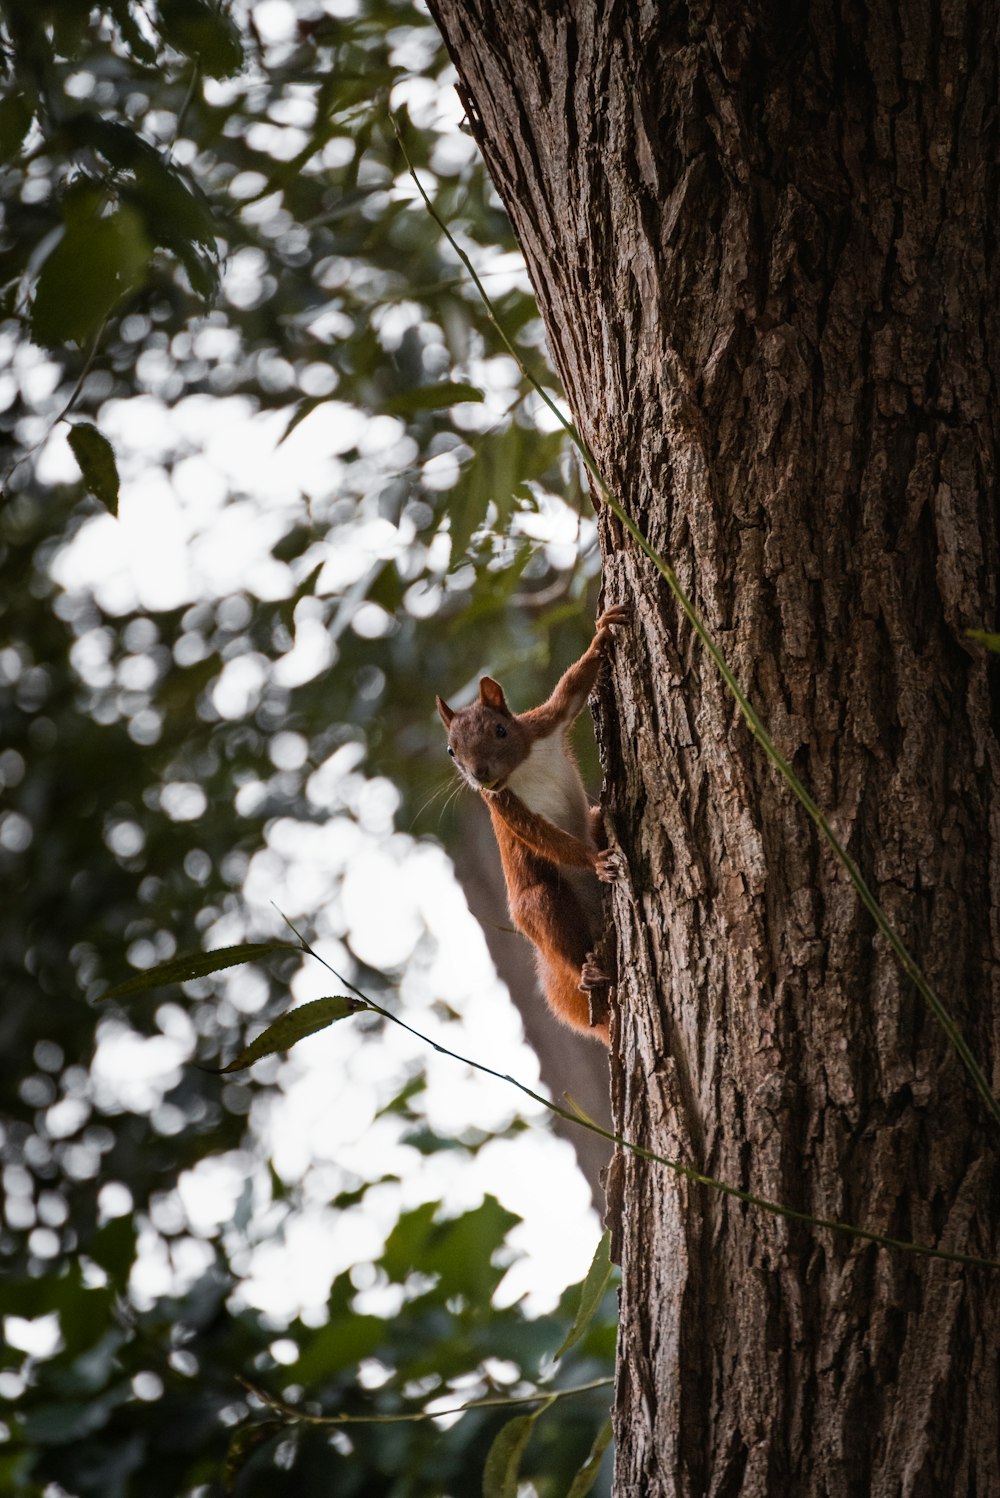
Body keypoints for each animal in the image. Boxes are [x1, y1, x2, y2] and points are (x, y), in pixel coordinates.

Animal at [434, 602, 628, 1048]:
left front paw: (603, 631)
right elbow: (542, 838)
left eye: (500, 729)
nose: (480, 774)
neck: (521, 768)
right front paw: (595, 860)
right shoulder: (503, 805)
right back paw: (590, 974)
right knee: (558, 933)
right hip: (538, 907)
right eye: (451, 751)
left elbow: (572, 686)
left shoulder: (546, 722)